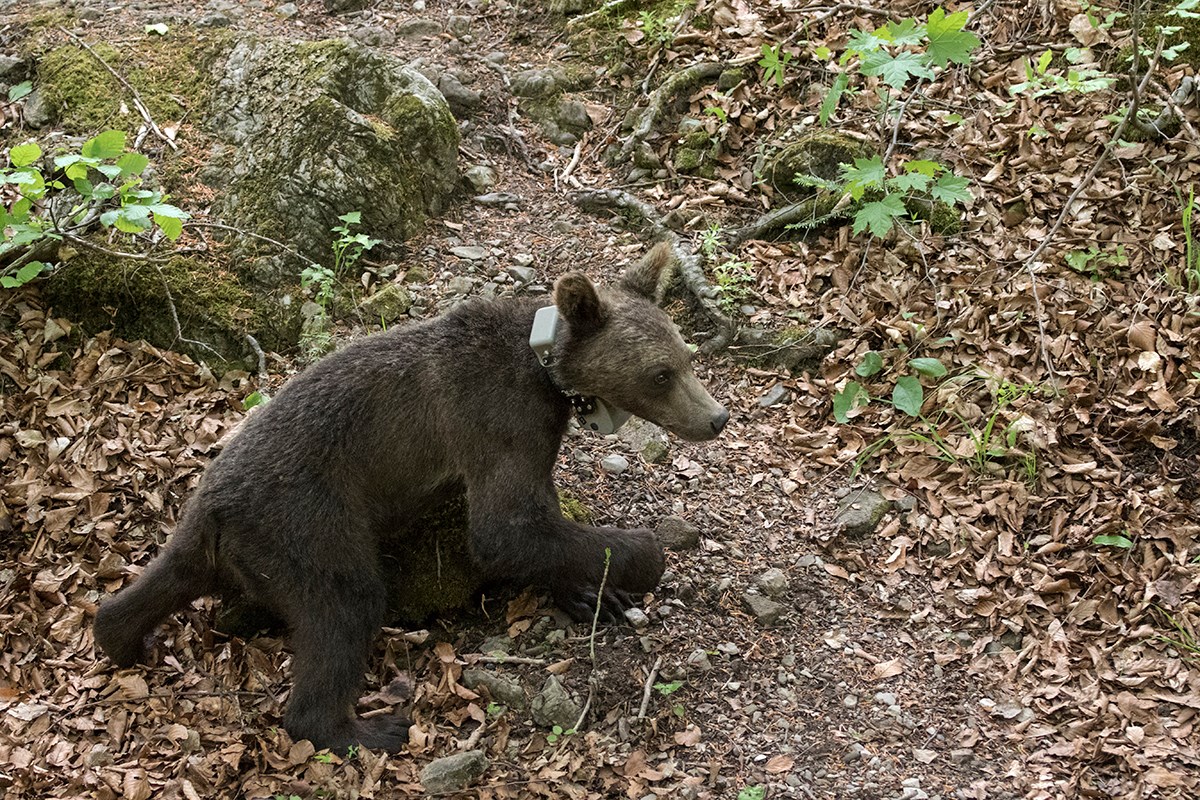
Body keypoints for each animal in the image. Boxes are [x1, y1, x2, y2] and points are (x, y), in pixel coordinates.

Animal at [93, 241, 724, 753]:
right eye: (661, 374)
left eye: (687, 358)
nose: (715, 418)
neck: (544, 370)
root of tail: (210, 505)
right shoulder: (497, 422)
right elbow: (505, 529)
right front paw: (644, 556)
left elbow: (537, 527)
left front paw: (595, 591)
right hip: (306, 520)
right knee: (346, 604)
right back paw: (366, 728)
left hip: (225, 542)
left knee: (157, 584)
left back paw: (121, 633)